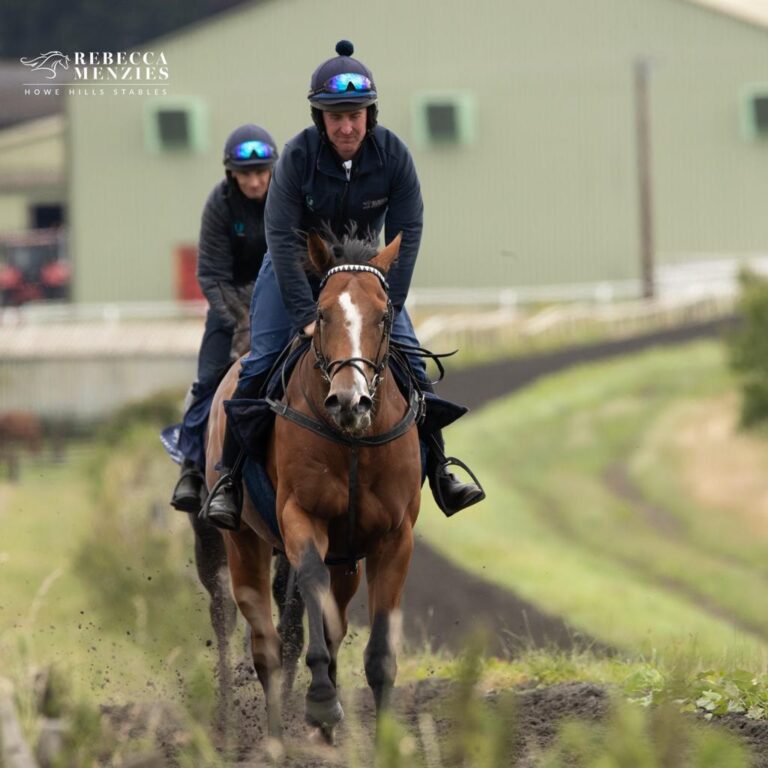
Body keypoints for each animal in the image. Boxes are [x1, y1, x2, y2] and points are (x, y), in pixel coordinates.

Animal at [207, 231, 420, 740]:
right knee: (262, 642)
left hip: (347, 558)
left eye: (384, 315)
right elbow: (307, 589)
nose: (350, 400)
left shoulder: (395, 537)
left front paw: (383, 740)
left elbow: (377, 651)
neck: (354, 442)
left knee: (330, 619)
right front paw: (321, 699)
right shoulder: (301, 516)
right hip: (241, 542)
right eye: (321, 313)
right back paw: (274, 736)